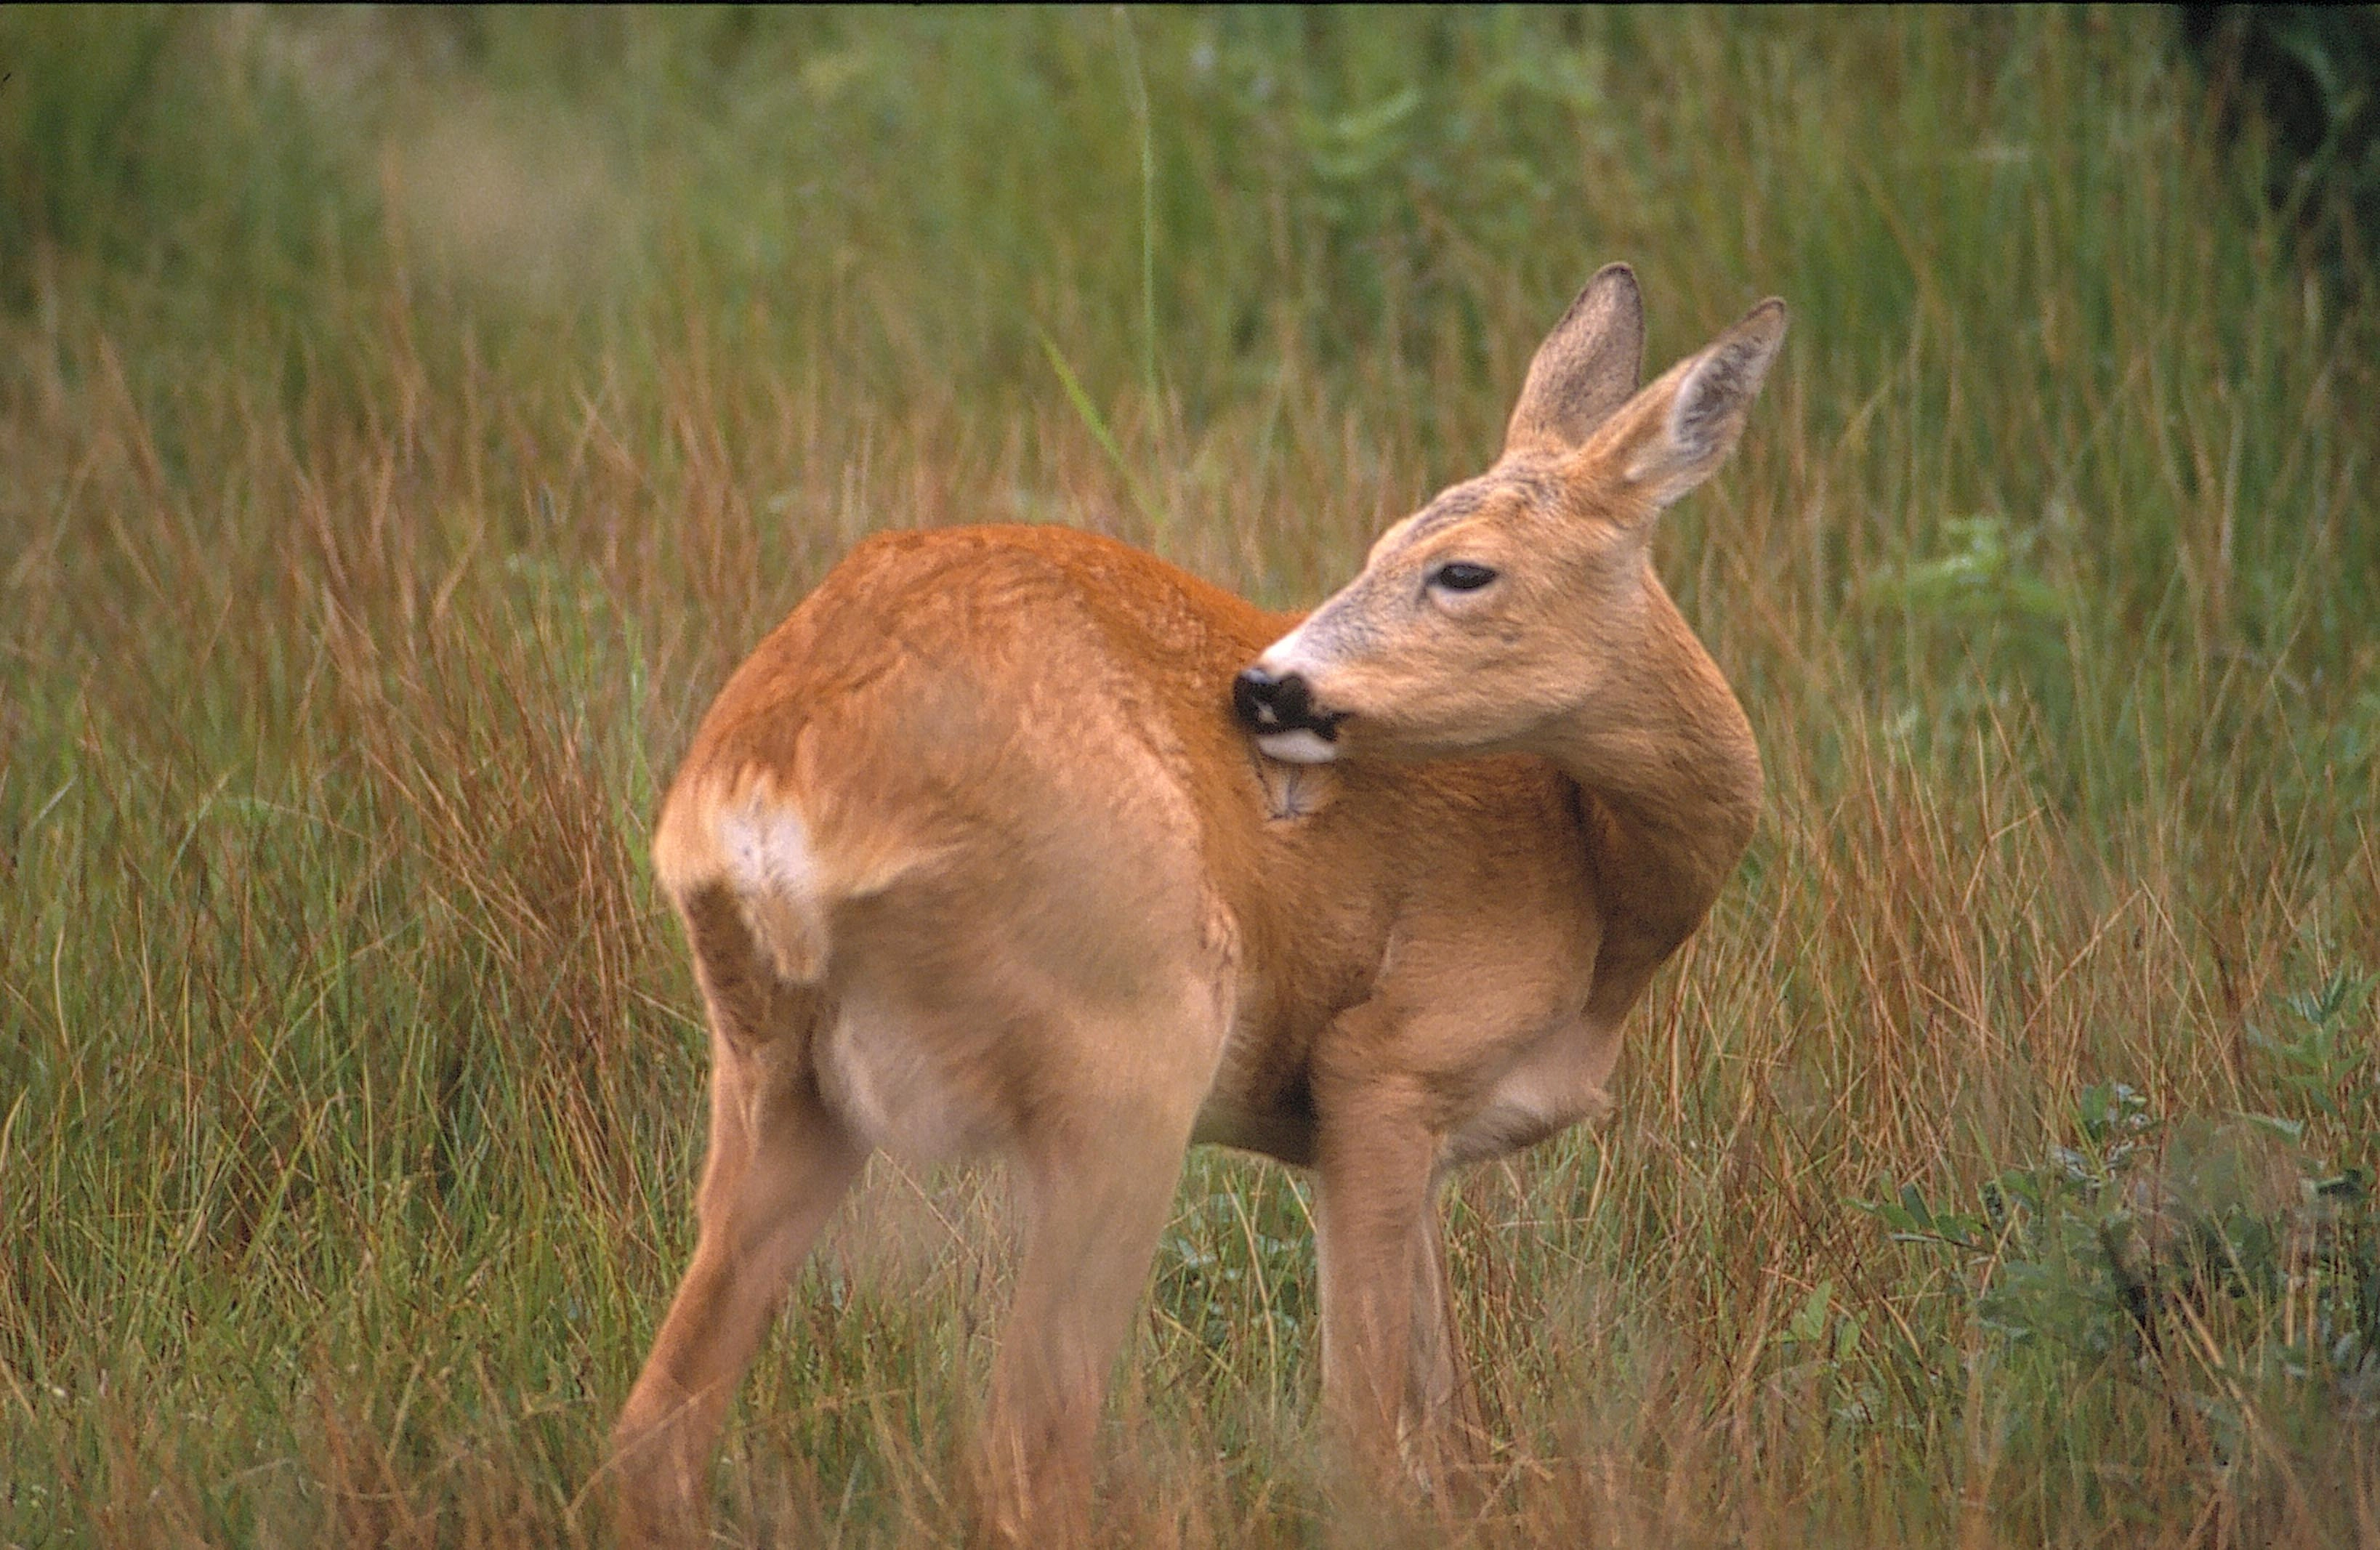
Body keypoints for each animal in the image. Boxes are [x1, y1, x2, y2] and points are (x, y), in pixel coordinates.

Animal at [613, 264, 1789, 1543]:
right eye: (1390, 545)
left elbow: (1458, 1429)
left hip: (774, 1070)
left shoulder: (1403, 1144)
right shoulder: (1381, 1069)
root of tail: (769, 774)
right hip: (1132, 1044)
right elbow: (1367, 1437)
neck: (1594, 880)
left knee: (655, 1427)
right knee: (1024, 1449)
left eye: (1459, 568)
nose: (1265, 686)